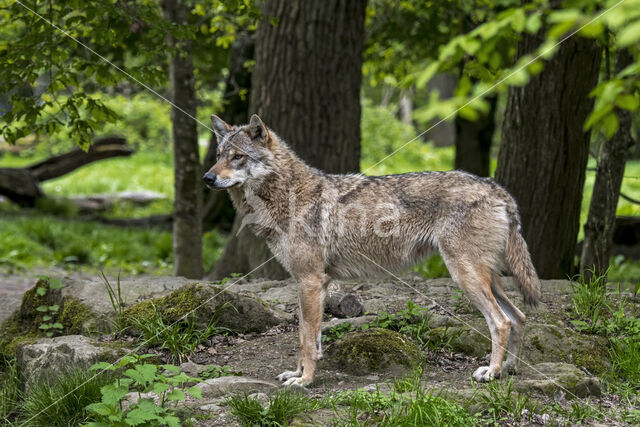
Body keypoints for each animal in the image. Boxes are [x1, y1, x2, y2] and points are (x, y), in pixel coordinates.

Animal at [204, 113, 540, 388]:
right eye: (218, 156)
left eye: (238, 157)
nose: (207, 178)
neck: (287, 197)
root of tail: (496, 188)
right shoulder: (311, 284)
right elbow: (305, 337)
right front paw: (296, 373)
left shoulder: (310, 281)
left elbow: (306, 341)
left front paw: (305, 381)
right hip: (486, 278)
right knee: (520, 317)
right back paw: (509, 369)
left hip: (466, 276)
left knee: (501, 322)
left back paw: (492, 372)